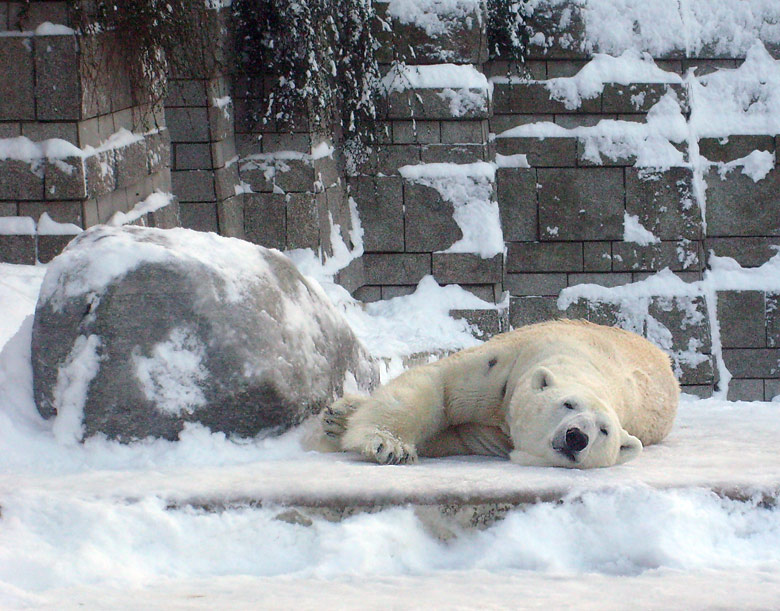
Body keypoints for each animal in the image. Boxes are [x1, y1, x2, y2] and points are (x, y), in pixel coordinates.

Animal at [322, 320, 676, 468]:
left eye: (604, 430)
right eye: (568, 404)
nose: (577, 436)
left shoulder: (492, 435)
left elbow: (449, 434)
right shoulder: (507, 364)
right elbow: (439, 386)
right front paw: (387, 445)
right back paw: (339, 414)